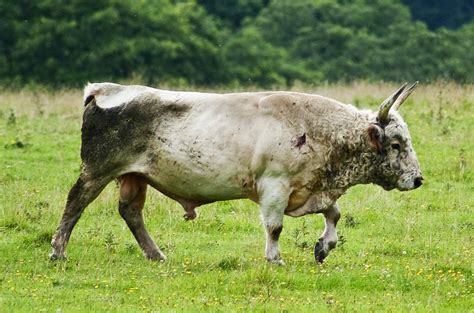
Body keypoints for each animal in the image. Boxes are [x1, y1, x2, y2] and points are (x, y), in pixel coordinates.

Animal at [51, 81, 422, 262]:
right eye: (395, 145)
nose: (418, 179)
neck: (318, 130)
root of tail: (102, 90)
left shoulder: (313, 189)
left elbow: (334, 215)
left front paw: (323, 247)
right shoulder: (275, 187)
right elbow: (275, 227)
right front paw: (275, 258)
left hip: (134, 177)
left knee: (130, 212)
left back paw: (156, 255)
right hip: (96, 170)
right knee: (75, 204)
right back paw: (58, 251)